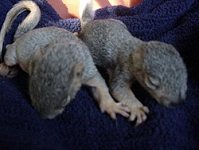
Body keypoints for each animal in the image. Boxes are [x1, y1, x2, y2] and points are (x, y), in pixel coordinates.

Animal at [0, 0, 130, 119]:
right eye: (31, 91)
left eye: (65, 101)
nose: (45, 116)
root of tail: (22, 36)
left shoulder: (88, 71)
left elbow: (99, 85)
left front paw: (111, 106)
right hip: (12, 55)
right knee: (8, 51)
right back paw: (5, 68)